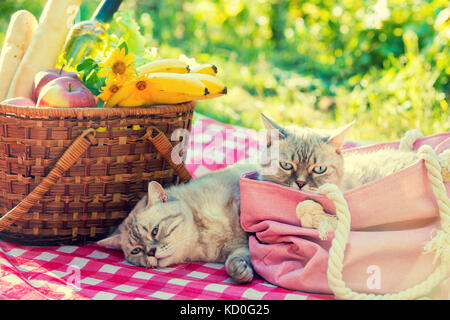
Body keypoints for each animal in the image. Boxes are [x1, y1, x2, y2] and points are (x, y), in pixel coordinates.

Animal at [99, 164, 258, 284]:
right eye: (136, 251)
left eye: (155, 231)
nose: (151, 252)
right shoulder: (237, 247)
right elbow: (235, 260)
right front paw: (241, 271)